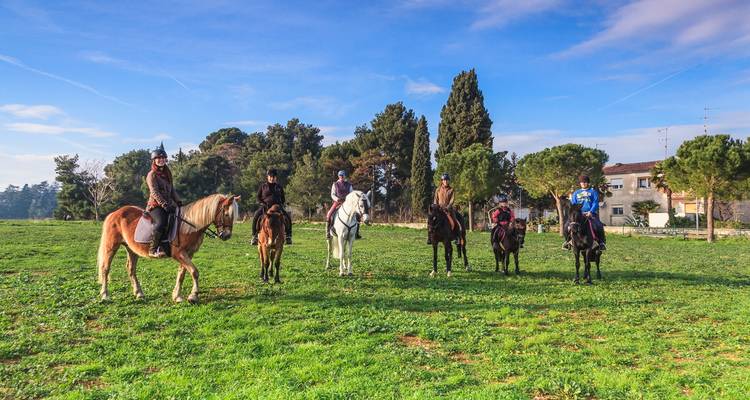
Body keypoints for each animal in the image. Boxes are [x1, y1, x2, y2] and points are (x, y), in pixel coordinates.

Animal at [97, 194, 240, 303]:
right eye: (226, 214)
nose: (227, 235)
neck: (188, 226)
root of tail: (114, 213)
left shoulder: (188, 254)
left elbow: (182, 274)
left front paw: (177, 296)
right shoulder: (179, 254)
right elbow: (194, 272)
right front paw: (193, 296)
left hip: (131, 249)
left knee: (131, 269)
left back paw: (139, 293)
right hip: (111, 246)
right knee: (105, 268)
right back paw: (105, 295)